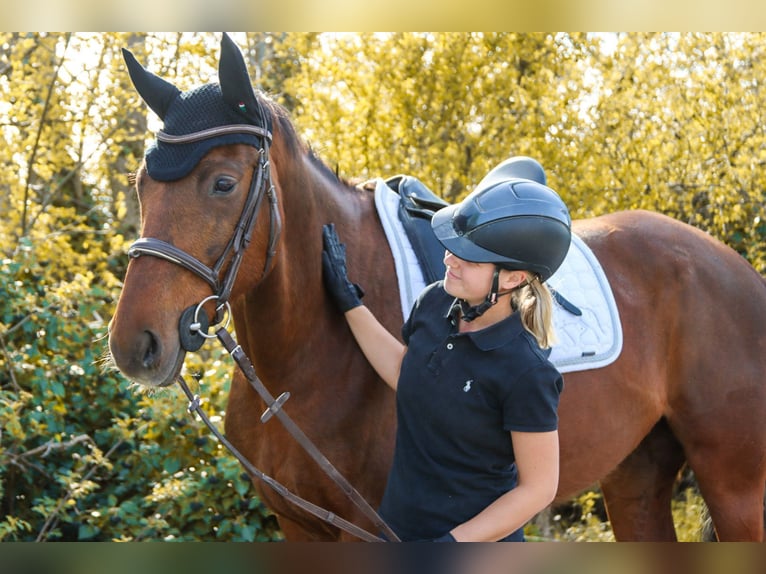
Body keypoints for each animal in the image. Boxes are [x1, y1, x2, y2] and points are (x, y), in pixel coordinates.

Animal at [107, 34, 766, 541]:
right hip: (636, 476)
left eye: (222, 183)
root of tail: (735, 268)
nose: (134, 345)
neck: (305, 363)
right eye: (142, 183)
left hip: (736, 490)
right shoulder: (302, 526)